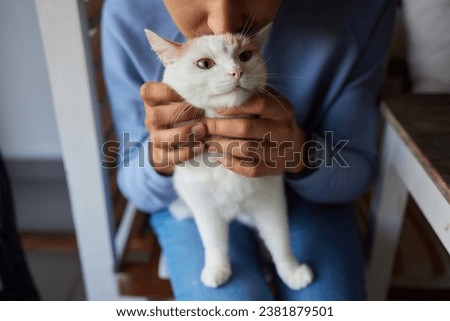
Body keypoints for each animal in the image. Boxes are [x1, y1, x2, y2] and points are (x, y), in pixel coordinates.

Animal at [145, 25, 312, 288]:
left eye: (245, 56)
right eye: (204, 63)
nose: (237, 71)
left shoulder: (270, 204)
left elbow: (280, 241)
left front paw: (291, 272)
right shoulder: (206, 210)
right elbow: (214, 243)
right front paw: (217, 270)